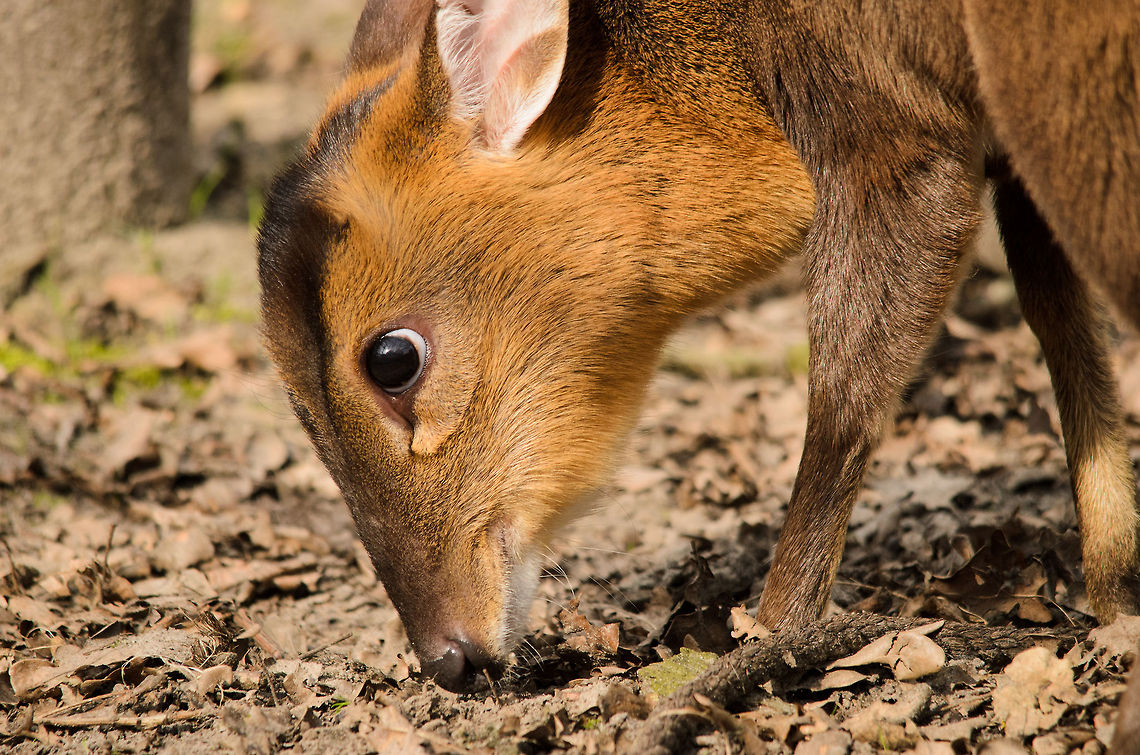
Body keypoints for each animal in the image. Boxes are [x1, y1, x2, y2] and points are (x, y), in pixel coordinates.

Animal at [257, 0, 1140, 692]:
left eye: (393, 358)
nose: (447, 657)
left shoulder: (896, 132)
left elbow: (846, 392)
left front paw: (766, 642)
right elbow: (1060, 320)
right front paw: (1113, 592)